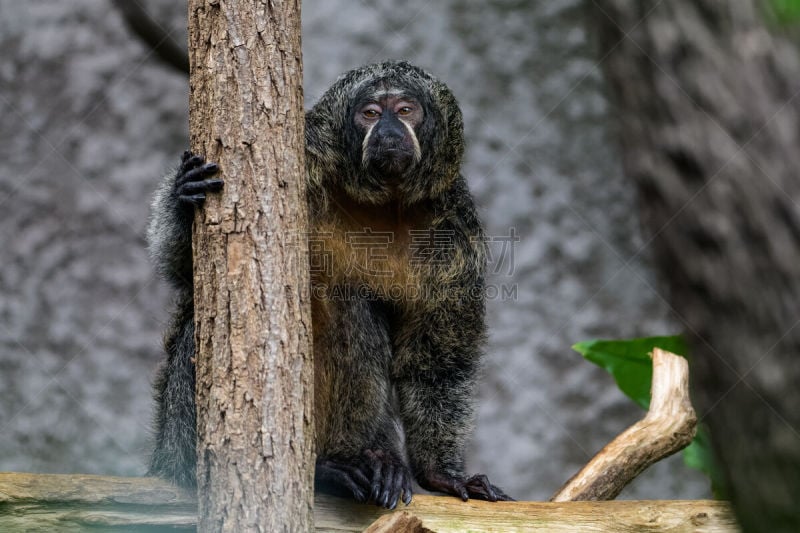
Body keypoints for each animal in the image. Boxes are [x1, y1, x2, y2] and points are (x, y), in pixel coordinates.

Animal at [148, 59, 512, 508]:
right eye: (370, 113)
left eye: (405, 110)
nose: (389, 130)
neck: (382, 205)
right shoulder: (304, 160)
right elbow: (185, 273)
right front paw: (184, 194)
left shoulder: (457, 230)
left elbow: (437, 359)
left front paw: (440, 472)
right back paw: (327, 470)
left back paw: (370, 462)